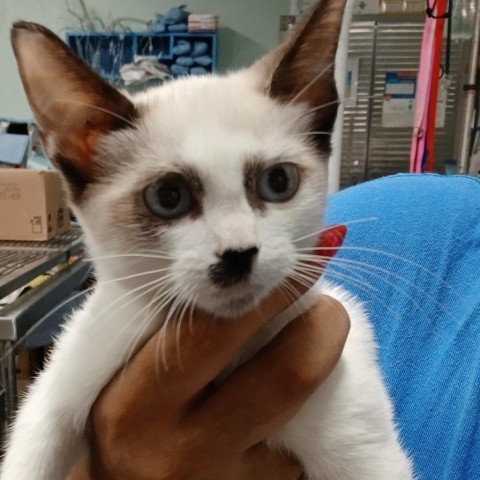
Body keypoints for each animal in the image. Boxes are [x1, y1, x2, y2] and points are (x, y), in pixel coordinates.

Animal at [2, 1, 412, 478]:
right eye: (168, 196)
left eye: (278, 182)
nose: (239, 254)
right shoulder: (62, 386)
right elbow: (31, 453)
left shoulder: (364, 450)